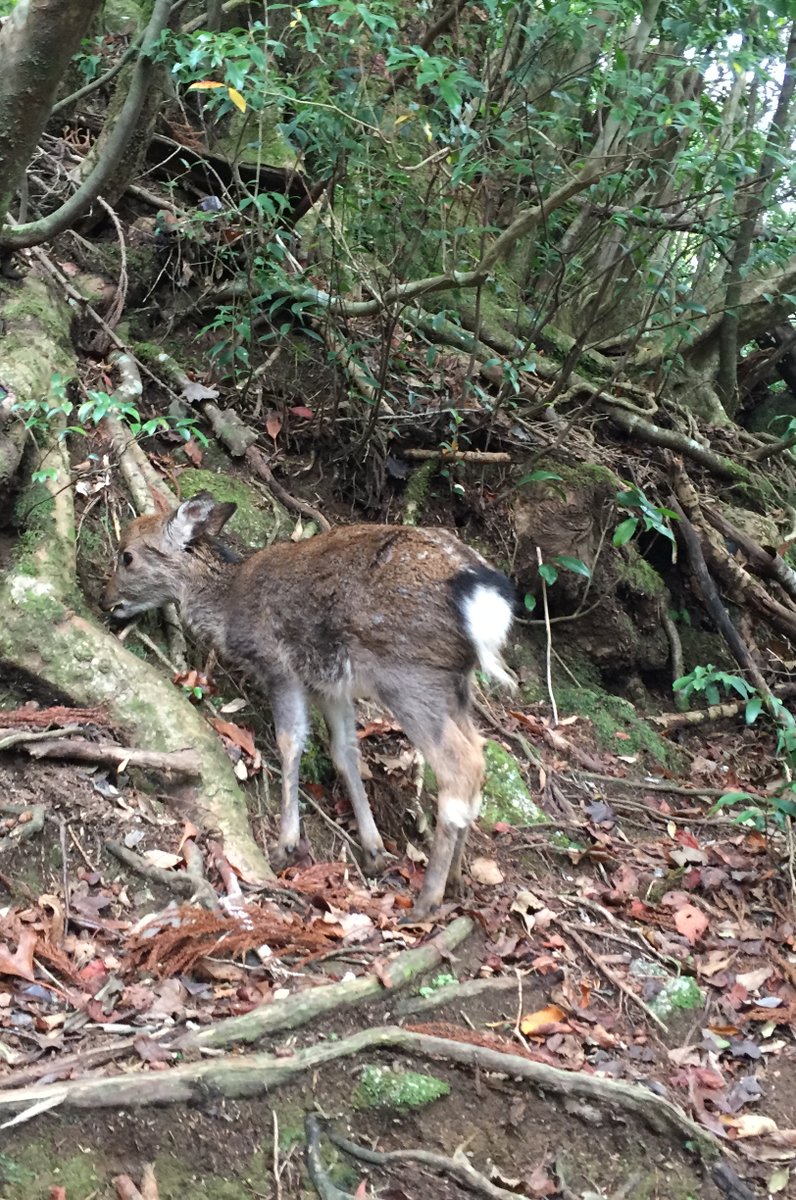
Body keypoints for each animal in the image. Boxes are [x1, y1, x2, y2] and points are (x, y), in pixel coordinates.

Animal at [101, 489, 516, 916]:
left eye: (127, 555)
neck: (228, 604)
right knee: (479, 757)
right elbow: (345, 752)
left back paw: (427, 899)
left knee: (461, 767)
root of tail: (485, 598)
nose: (105, 600)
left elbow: (290, 741)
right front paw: (373, 849)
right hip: (457, 686)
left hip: (410, 675)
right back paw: (455, 878)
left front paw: (285, 844)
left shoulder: (279, 664)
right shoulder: (329, 684)